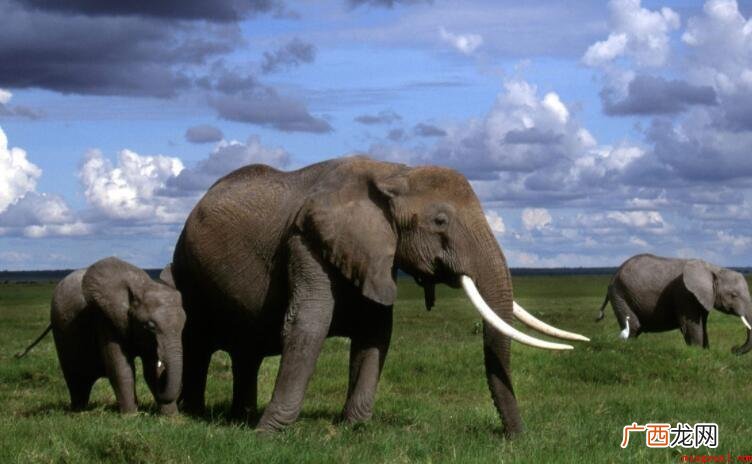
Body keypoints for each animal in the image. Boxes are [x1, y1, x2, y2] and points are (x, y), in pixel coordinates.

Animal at [16, 257, 186, 414]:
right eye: (150, 326)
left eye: (184, 324)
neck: (142, 286)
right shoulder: (105, 317)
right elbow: (120, 368)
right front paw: (131, 416)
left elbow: (151, 370)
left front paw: (171, 418)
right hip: (61, 330)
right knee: (76, 377)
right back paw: (78, 411)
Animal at [172, 155, 588, 437]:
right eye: (439, 221)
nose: (516, 437)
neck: (394, 172)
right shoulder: (307, 241)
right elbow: (307, 324)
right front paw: (269, 433)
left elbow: (376, 332)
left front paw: (354, 427)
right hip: (186, 269)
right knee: (197, 341)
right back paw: (192, 414)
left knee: (246, 352)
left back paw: (238, 415)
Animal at [596, 254, 752, 354]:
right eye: (734, 295)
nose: (733, 349)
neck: (713, 268)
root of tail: (613, 276)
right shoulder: (684, 293)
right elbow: (692, 325)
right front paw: (697, 353)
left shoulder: (703, 297)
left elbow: (703, 325)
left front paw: (706, 351)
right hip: (620, 294)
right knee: (633, 326)